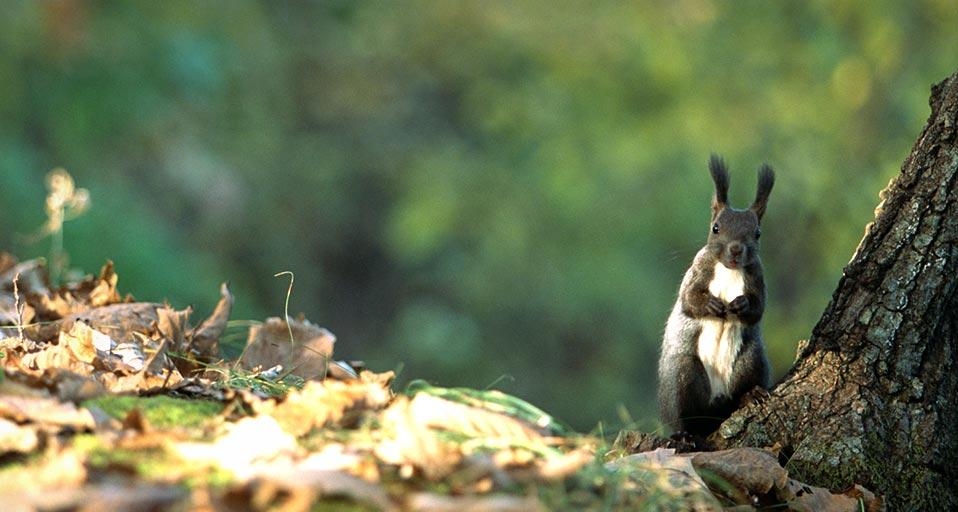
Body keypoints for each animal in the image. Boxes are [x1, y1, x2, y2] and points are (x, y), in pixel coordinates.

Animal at [657, 155, 774, 438]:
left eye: (757, 233)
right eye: (716, 228)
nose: (736, 249)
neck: (729, 270)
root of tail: (716, 401)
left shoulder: (758, 278)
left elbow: (758, 308)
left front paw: (741, 304)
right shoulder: (697, 271)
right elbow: (688, 300)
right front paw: (710, 304)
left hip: (751, 360)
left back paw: (751, 395)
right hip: (684, 376)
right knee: (686, 414)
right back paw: (686, 433)